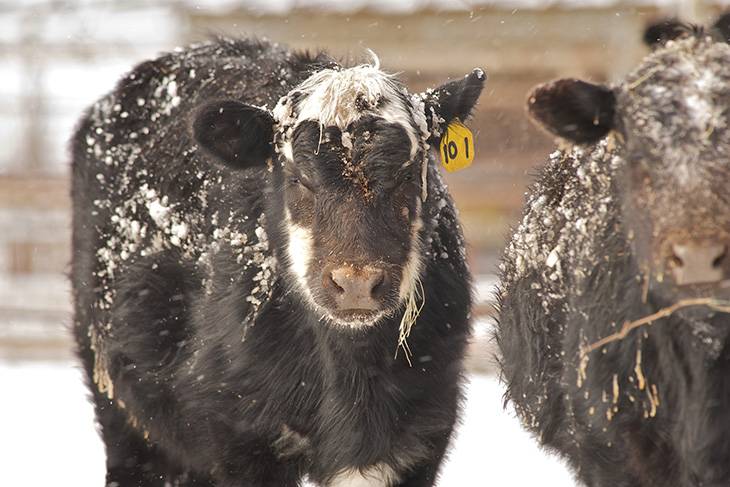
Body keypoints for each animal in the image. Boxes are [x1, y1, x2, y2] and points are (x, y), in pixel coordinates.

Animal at [71, 38, 486, 487]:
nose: (356, 284)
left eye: (407, 175)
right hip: (121, 407)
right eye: (299, 178)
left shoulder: (420, 436)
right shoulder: (241, 437)